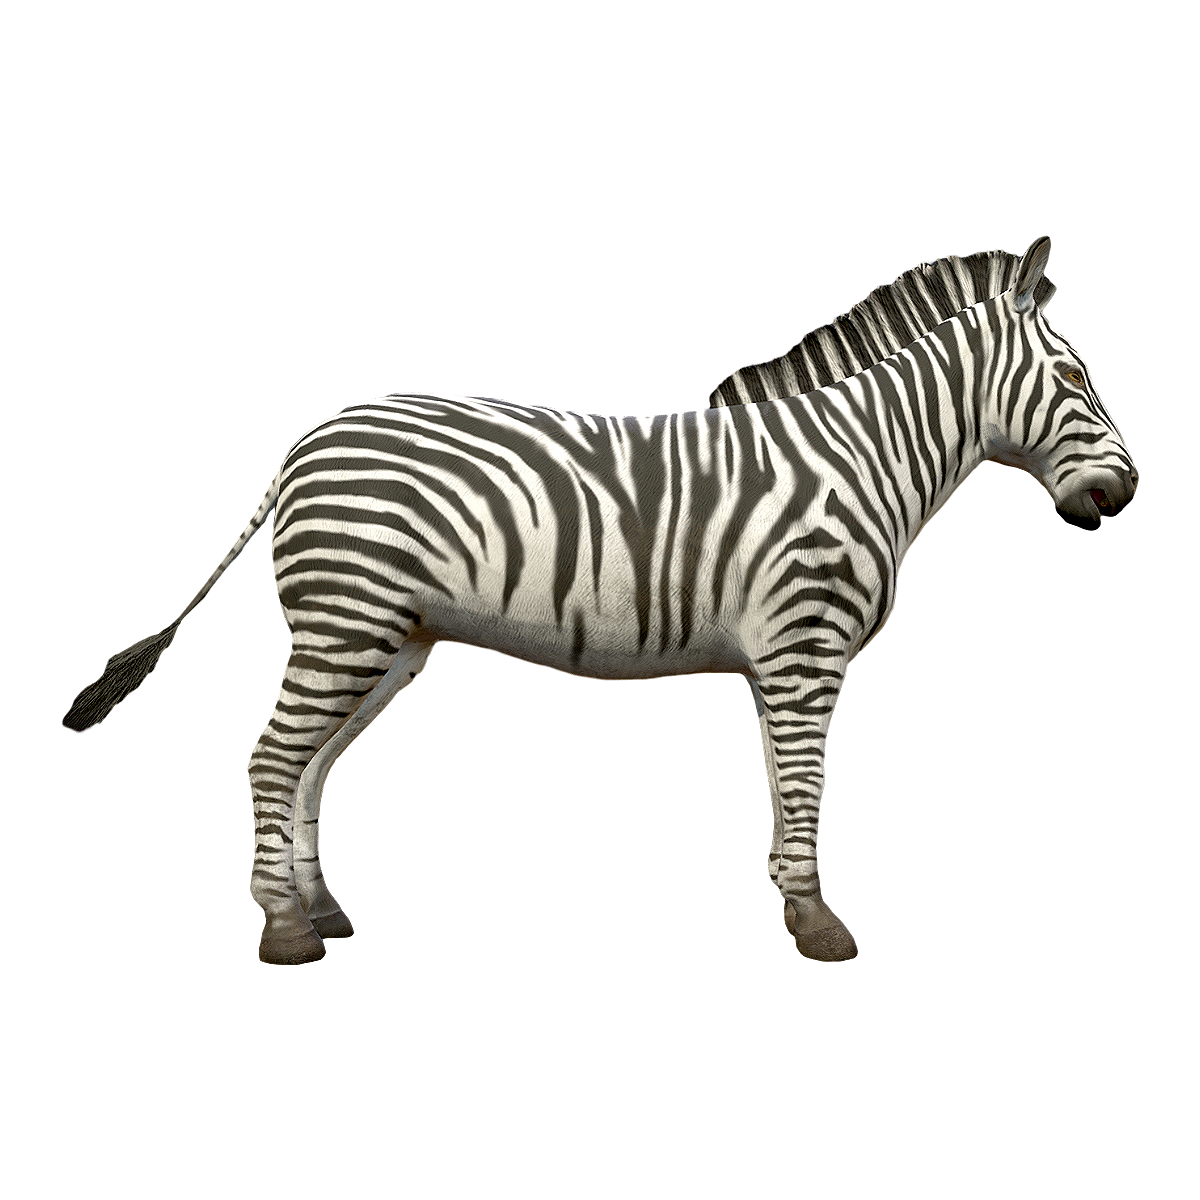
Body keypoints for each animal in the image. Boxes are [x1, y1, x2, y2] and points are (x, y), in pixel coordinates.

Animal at [64, 236, 1137, 965]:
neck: (858, 459)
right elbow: (802, 788)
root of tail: (303, 445)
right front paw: (814, 923)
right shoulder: (802, 644)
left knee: (308, 770)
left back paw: (322, 916)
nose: (1126, 493)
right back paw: (285, 932)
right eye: (1075, 375)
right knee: (273, 760)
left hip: (379, 631)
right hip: (348, 620)